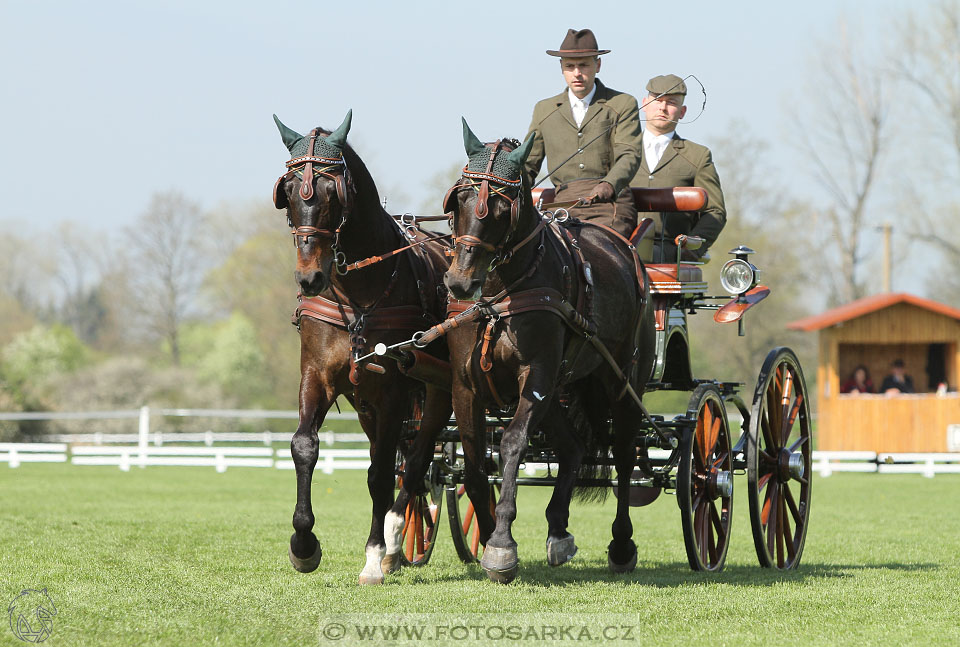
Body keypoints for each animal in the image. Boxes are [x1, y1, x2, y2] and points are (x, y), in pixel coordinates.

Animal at [270, 112, 450, 588]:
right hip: (366, 403)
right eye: (288, 192)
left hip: (439, 393)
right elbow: (304, 446)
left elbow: (382, 473)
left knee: (416, 461)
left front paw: (373, 556)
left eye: (334, 192)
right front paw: (303, 545)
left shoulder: (392, 390)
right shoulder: (317, 375)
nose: (310, 278)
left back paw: (394, 539)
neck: (358, 293)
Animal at [438, 119, 656, 584]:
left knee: (624, 456)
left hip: (624, 383)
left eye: (501, 208)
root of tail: (624, 249)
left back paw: (622, 544)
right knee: (573, 447)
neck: (499, 294)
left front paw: (501, 543)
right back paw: (558, 528)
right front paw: (487, 533)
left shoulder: (535, 374)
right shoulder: (465, 386)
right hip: (563, 385)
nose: (461, 283)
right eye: (459, 199)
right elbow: (474, 461)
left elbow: (512, 444)